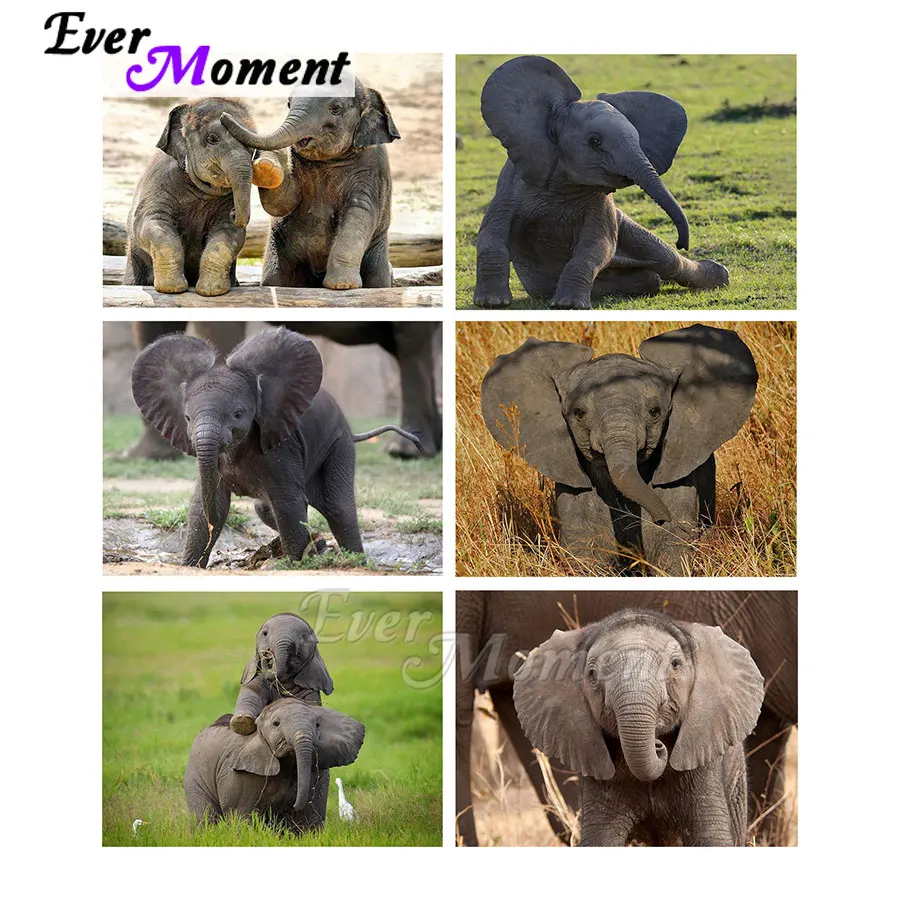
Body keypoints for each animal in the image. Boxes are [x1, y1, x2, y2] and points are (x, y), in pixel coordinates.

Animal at [124, 98, 282, 297]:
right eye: (213, 139)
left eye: (251, 146)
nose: (233, 212)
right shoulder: (158, 183)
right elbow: (150, 222)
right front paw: (172, 288)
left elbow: (227, 234)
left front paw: (211, 291)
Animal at [130, 327, 422, 567]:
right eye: (187, 418)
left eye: (238, 414)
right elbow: (204, 507)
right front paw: (190, 566)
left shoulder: (281, 444)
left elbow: (289, 503)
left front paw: (292, 565)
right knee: (265, 509)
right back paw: (319, 546)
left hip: (338, 445)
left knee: (338, 509)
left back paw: (355, 563)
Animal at [184, 699, 365, 830]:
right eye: (276, 724)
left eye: (317, 725)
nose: (293, 805)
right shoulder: (237, 774)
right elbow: (242, 814)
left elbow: (309, 816)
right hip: (194, 774)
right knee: (205, 817)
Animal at [221, 78, 400, 290]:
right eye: (288, 103)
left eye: (336, 108)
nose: (224, 116)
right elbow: (284, 203)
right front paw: (267, 167)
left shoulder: (372, 169)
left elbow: (359, 212)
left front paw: (342, 285)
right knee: (274, 279)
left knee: (378, 279)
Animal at [472, 56, 729, 309]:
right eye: (594, 141)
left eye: (639, 140)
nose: (681, 242)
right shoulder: (511, 187)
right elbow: (490, 236)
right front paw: (492, 303)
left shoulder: (601, 203)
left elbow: (596, 246)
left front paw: (568, 306)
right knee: (649, 277)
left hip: (626, 225)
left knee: (667, 260)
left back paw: (720, 277)